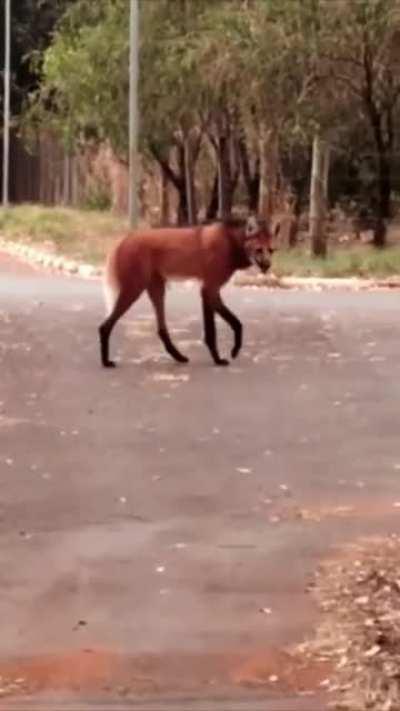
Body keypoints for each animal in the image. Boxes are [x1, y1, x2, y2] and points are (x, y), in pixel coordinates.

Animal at [99, 215, 278, 367]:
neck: (231, 243)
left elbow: (221, 327)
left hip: (157, 288)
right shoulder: (209, 288)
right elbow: (228, 325)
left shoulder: (208, 290)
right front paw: (224, 357)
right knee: (105, 325)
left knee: (161, 329)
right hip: (134, 289)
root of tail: (124, 239)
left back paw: (179, 356)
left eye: (271, 250)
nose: (267, 266)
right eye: (258, 250)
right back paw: (106, 362)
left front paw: (219, 357)